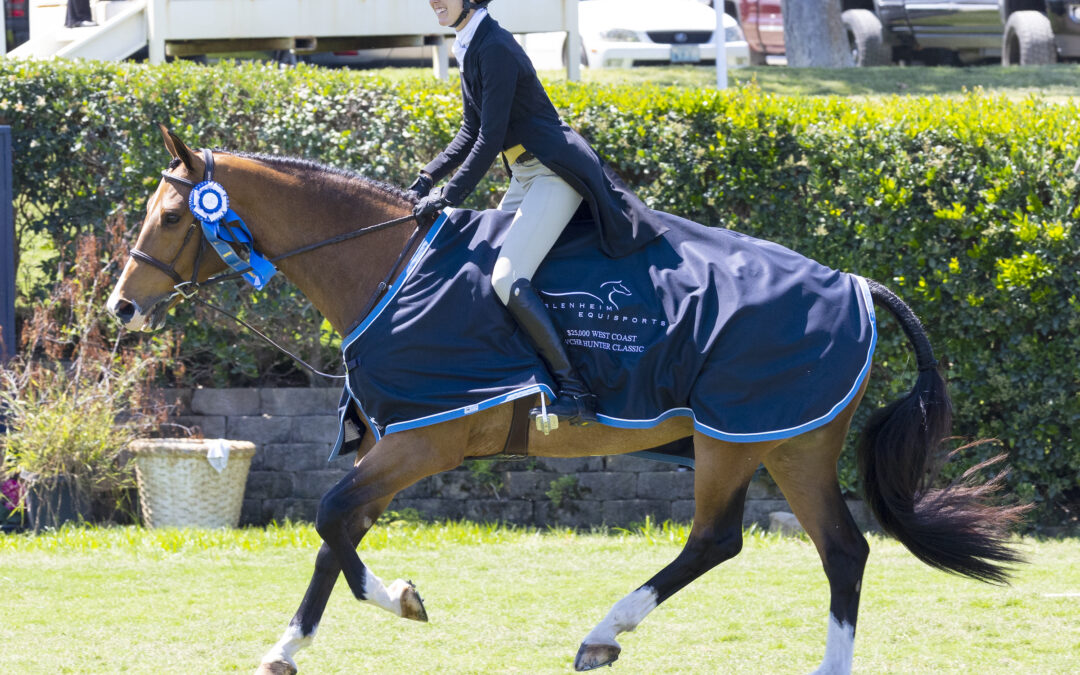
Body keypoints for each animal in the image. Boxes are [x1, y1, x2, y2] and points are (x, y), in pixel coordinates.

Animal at [109, 126, 1028, 673]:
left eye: (169, 219)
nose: (120, 306)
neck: (391, 268)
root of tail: (856, 284)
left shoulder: (429, 437)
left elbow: (333, 516)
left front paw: (342, 622)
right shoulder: (403, 440)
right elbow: (342, 528)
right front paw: (347, 620)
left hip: (740, 439)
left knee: (727, 539)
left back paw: (604, 633)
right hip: (787, 441)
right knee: (838, 550)